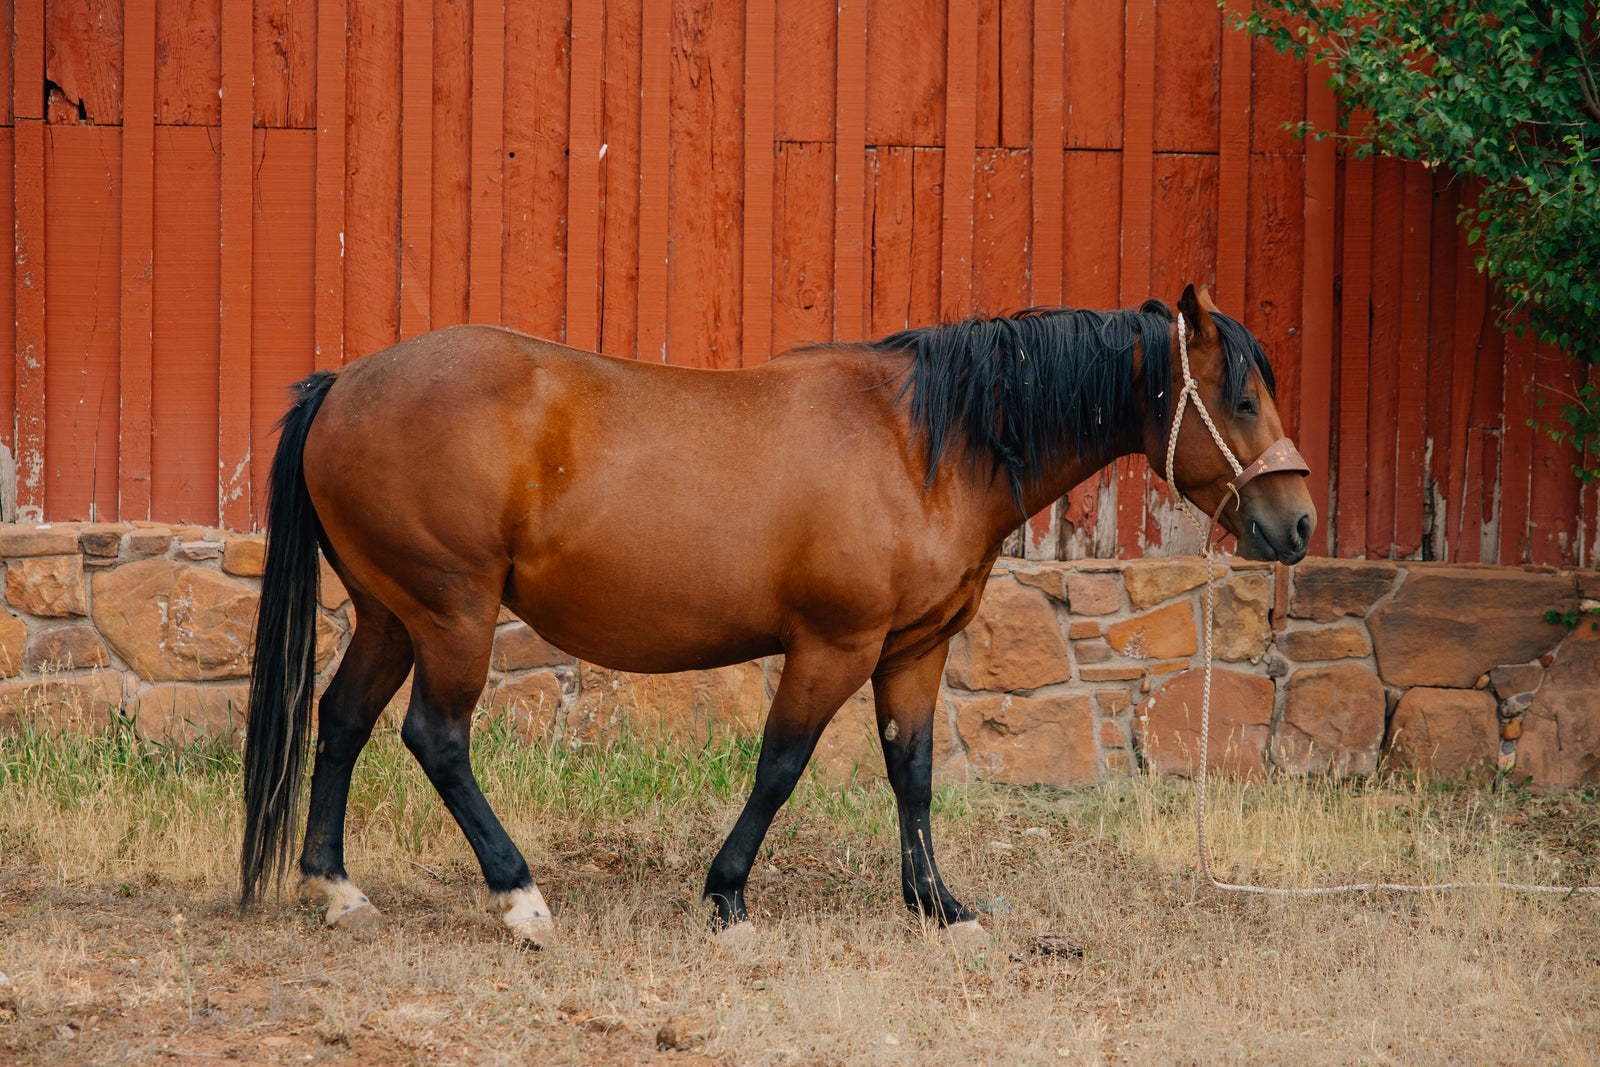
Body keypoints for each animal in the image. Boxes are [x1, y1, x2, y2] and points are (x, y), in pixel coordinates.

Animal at [239, 284, 1315, 945]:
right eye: (1240, 396)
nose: (1297, 521)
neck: (920, 443)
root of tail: (343, 384)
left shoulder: (913, 649)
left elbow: (913, 773)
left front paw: (938, 905)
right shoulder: (833, 644)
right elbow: (781, 765)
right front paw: (727, 895)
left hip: (390, 613)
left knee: (341, 721)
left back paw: (335, 887)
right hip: (451, 612)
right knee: (436, 737)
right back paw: (519, 895)